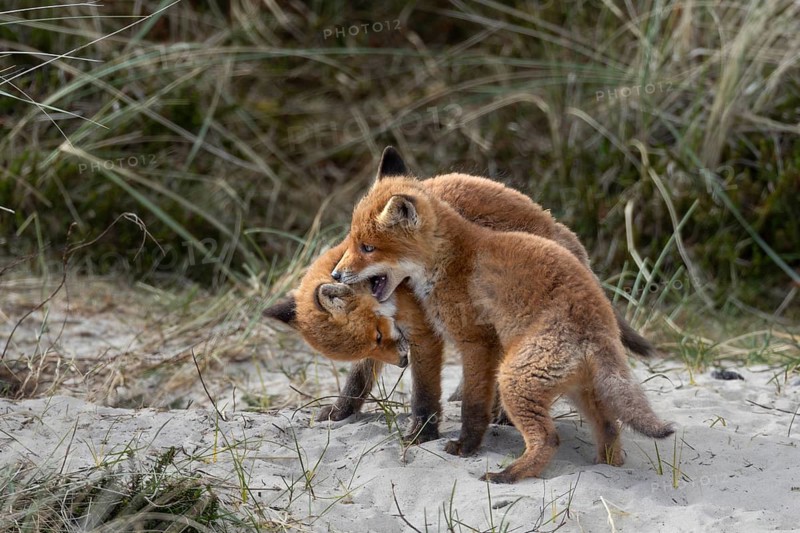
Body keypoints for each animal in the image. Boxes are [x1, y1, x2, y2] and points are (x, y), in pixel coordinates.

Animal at [264, 148, 656, 445]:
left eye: (368, 247)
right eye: (370, 341)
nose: (336, 274)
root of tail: (563, 233)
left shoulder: (424, 334)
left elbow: (424, 393)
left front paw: (423, 433)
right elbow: (359, 378)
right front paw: (343, 411)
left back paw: (500, 414)